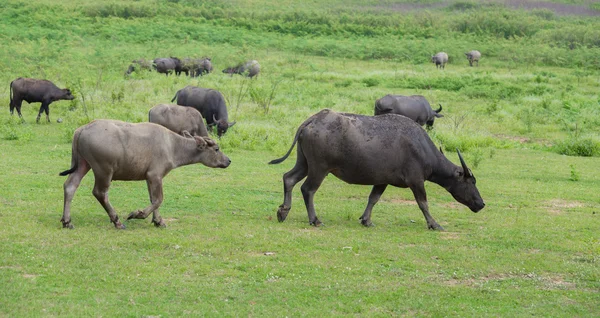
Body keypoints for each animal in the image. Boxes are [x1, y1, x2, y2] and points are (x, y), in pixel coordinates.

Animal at [59, 119, 231, 229]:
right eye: (217, 149)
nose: (228, 160)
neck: (172, 145)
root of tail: (82, 129)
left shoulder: (149, 177)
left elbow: (153, 199)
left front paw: (158, 221)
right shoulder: (156, 175)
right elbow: (158, 199)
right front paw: (137, 214)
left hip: (83, 164)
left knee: (70, 186)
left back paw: (67, 221)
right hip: (104, 170)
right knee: (100, 192)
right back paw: (117, 221)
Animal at [270, 109, 486, 229]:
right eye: (471, 182)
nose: (481, 203)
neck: (423, 148)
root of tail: (312, 120)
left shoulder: (382, 181)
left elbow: (373, 199)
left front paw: (366, 220)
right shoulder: (416, 181)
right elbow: (423, 203)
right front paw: (434, 224)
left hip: (304, 163)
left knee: (289, 178)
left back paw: (283, 211)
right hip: (319, 168)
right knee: (307, 189)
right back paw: (314, 220)